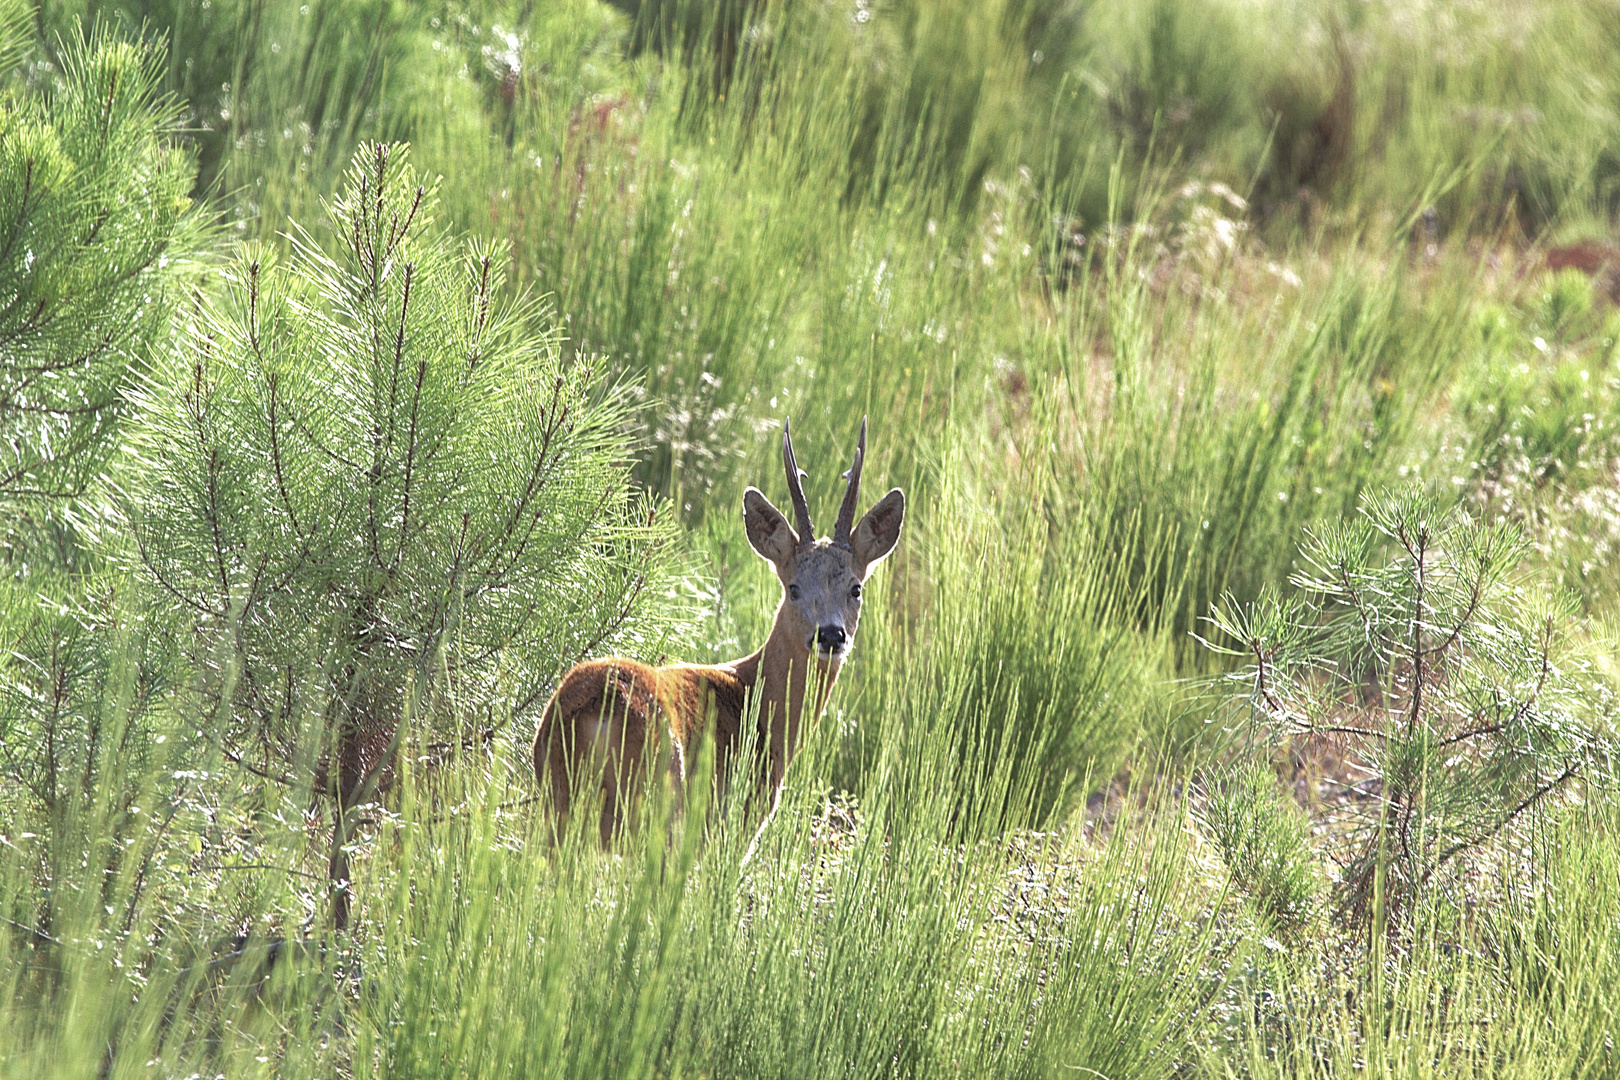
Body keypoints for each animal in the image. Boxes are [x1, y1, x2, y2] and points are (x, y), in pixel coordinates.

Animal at [534, 417, 907, 848]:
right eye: (793, 588)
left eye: (855, 588)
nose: (830, 636)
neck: (761, 705)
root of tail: (592, 707)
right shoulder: (730, 825)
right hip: (653, 810)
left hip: (554, 806)